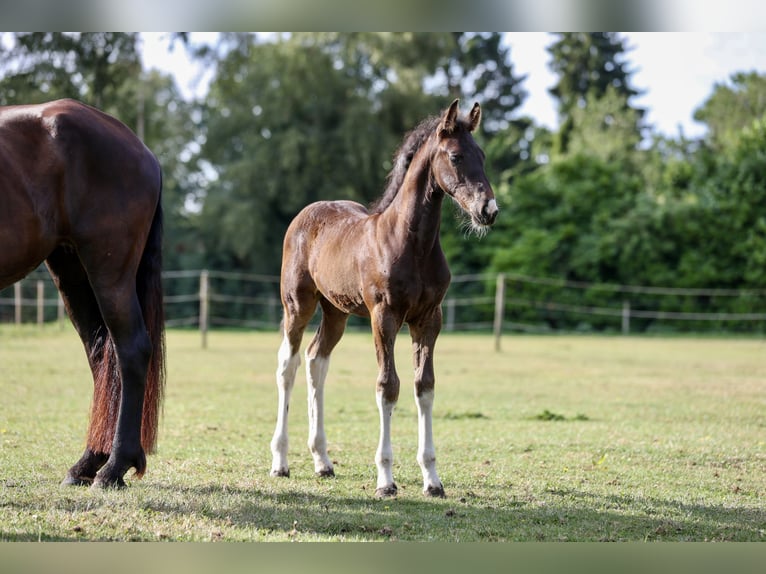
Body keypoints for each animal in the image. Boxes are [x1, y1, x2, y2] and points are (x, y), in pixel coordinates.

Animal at [0, 99, 165, 488]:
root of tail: (143, 150)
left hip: (109, 273)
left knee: (131, 350)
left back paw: (114, 467)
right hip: (73, 272)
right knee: (102, 355)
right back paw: (89, 462)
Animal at [269, 99, 498, 498]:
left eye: (482, 156)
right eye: (455, 156)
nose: (489, 210)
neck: (411, 243)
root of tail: (306, 214)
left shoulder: (429, 318)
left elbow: (424, 386)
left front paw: (432, 479)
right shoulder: (385, 316)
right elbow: (387, 386)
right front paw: (386, 480)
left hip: (336, 312)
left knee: (316, 361)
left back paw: (322, 461)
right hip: (298, 304)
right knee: (289, 364)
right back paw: (280, 461)